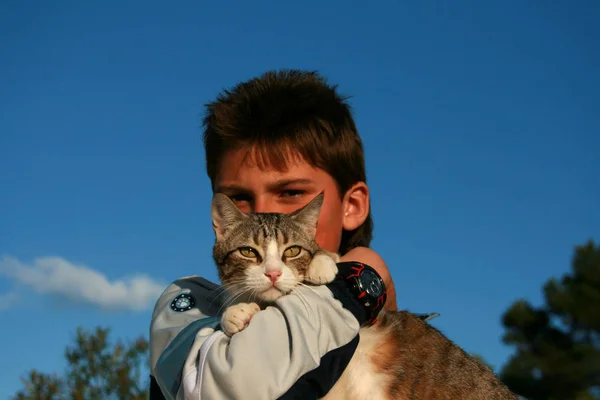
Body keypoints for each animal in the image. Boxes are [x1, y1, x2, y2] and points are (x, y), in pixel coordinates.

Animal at [210, 192, 516, 398]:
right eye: (249, 251)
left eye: (293, 251)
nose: (273, 273)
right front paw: (235, 313)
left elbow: (330, 255)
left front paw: (321, 264)